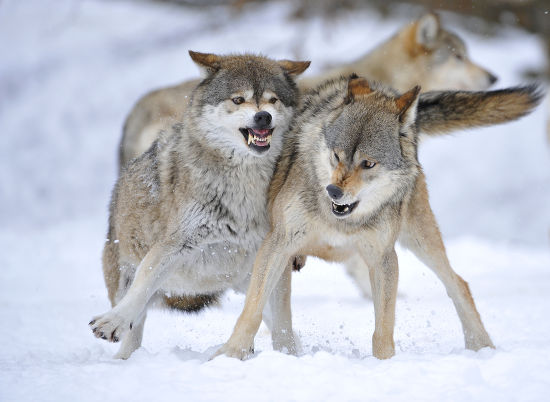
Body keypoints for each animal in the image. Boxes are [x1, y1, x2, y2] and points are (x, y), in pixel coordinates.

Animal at [87, 50, 310, 358]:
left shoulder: (275, 252)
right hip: (128, 280)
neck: (245, 185)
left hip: (244, 279)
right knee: (134, 327)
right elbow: (142, 285)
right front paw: (112, 323)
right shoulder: (174, 245)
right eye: (238, 100)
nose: (263, 116)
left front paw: (288, 356)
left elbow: (283, 323)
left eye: (273, 100)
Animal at [215, 76, 544, 362]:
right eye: (337, 156)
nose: (334, 191)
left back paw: (482, 346)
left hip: (419, 238)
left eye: (368, 164)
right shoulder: (278, 244)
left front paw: (384, 365)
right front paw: (230, 355)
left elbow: (383, 328)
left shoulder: (383, 257)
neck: (339, 220)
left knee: (458, 283)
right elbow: (252, 310)